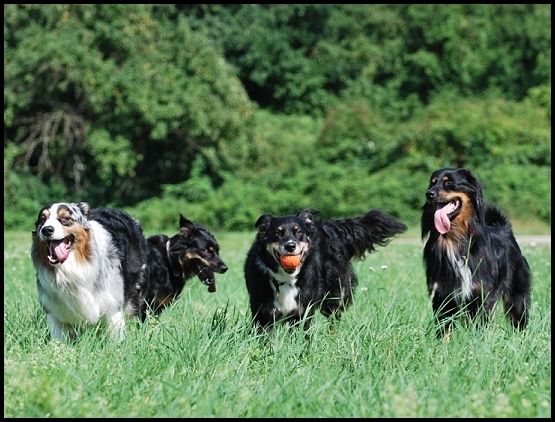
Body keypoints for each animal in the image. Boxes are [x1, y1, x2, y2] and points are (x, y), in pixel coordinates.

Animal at [244, 208, 407, 333]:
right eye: (277, 233)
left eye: (298, 232)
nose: (290, 246)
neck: (286, 280)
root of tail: (330, 226)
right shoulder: (264, 314)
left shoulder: (302, 313)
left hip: (335, 294)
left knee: (334, 318)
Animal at [421, 167, 532, 340]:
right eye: (432, 183)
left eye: (449, 183)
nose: (429, 194)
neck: (454, 239)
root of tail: (505, 229)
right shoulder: (442, 295)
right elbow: (444, 330)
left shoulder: (481, 296)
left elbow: (478, 328)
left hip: (517, 296)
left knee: (519, 320)